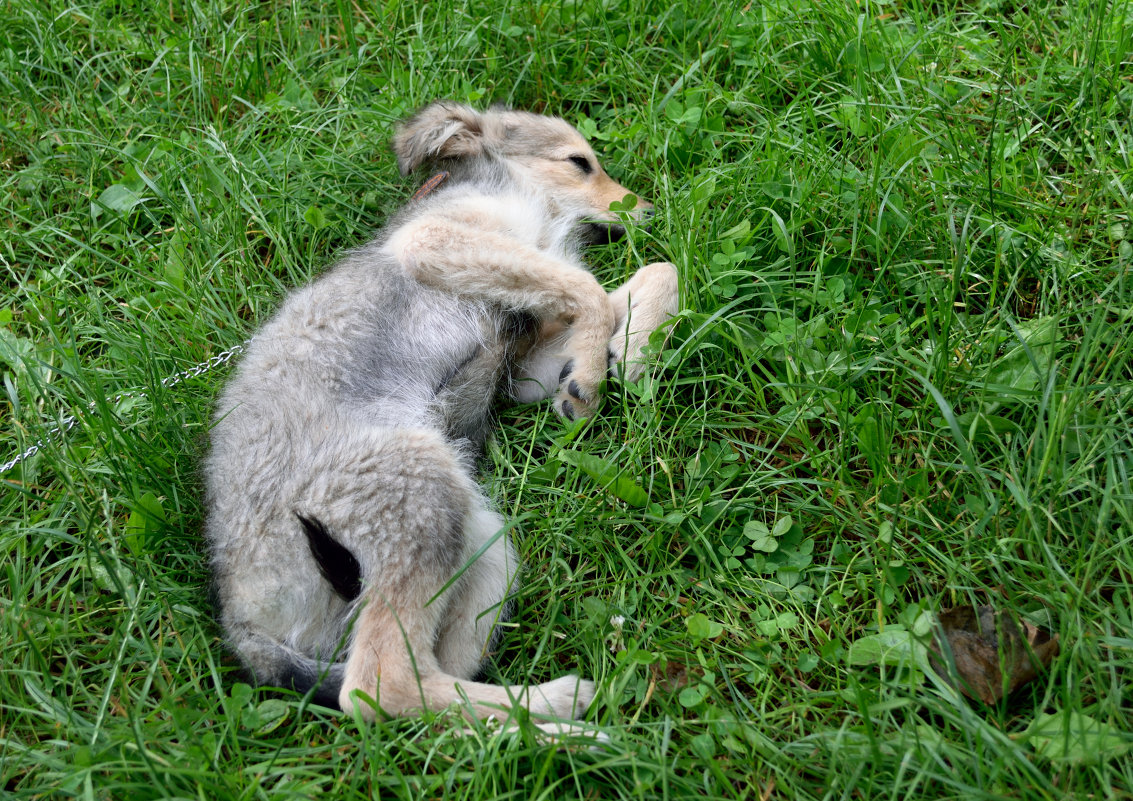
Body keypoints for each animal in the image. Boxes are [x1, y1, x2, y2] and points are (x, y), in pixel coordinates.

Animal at [202, 103, 675, 725]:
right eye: (579, 162)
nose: (646, 210)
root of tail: (243, 624)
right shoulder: (436, 240)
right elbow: (587, 285)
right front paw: (596, 374)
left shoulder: (525, 362)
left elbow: (656, 271)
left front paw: (631, 348)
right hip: (416, 485)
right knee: (381, 686)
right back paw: (567, 716)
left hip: (485, 546)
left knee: (437, 682)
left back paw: (536, 718)